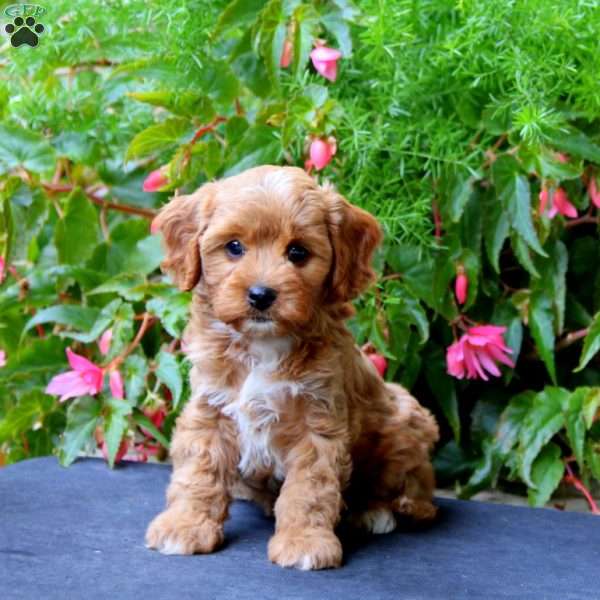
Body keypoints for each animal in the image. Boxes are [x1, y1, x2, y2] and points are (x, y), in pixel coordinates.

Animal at [144, 166, 436, 568]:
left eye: (297, 252)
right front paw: (185, 525)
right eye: (234, 247)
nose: (260, 294)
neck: (262, 346)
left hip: (405, 422)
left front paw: (304, 542)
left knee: (416, 492)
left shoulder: (317, 422)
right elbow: (198, 471)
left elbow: (309, 489)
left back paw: (375, 511)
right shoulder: (210, 410)